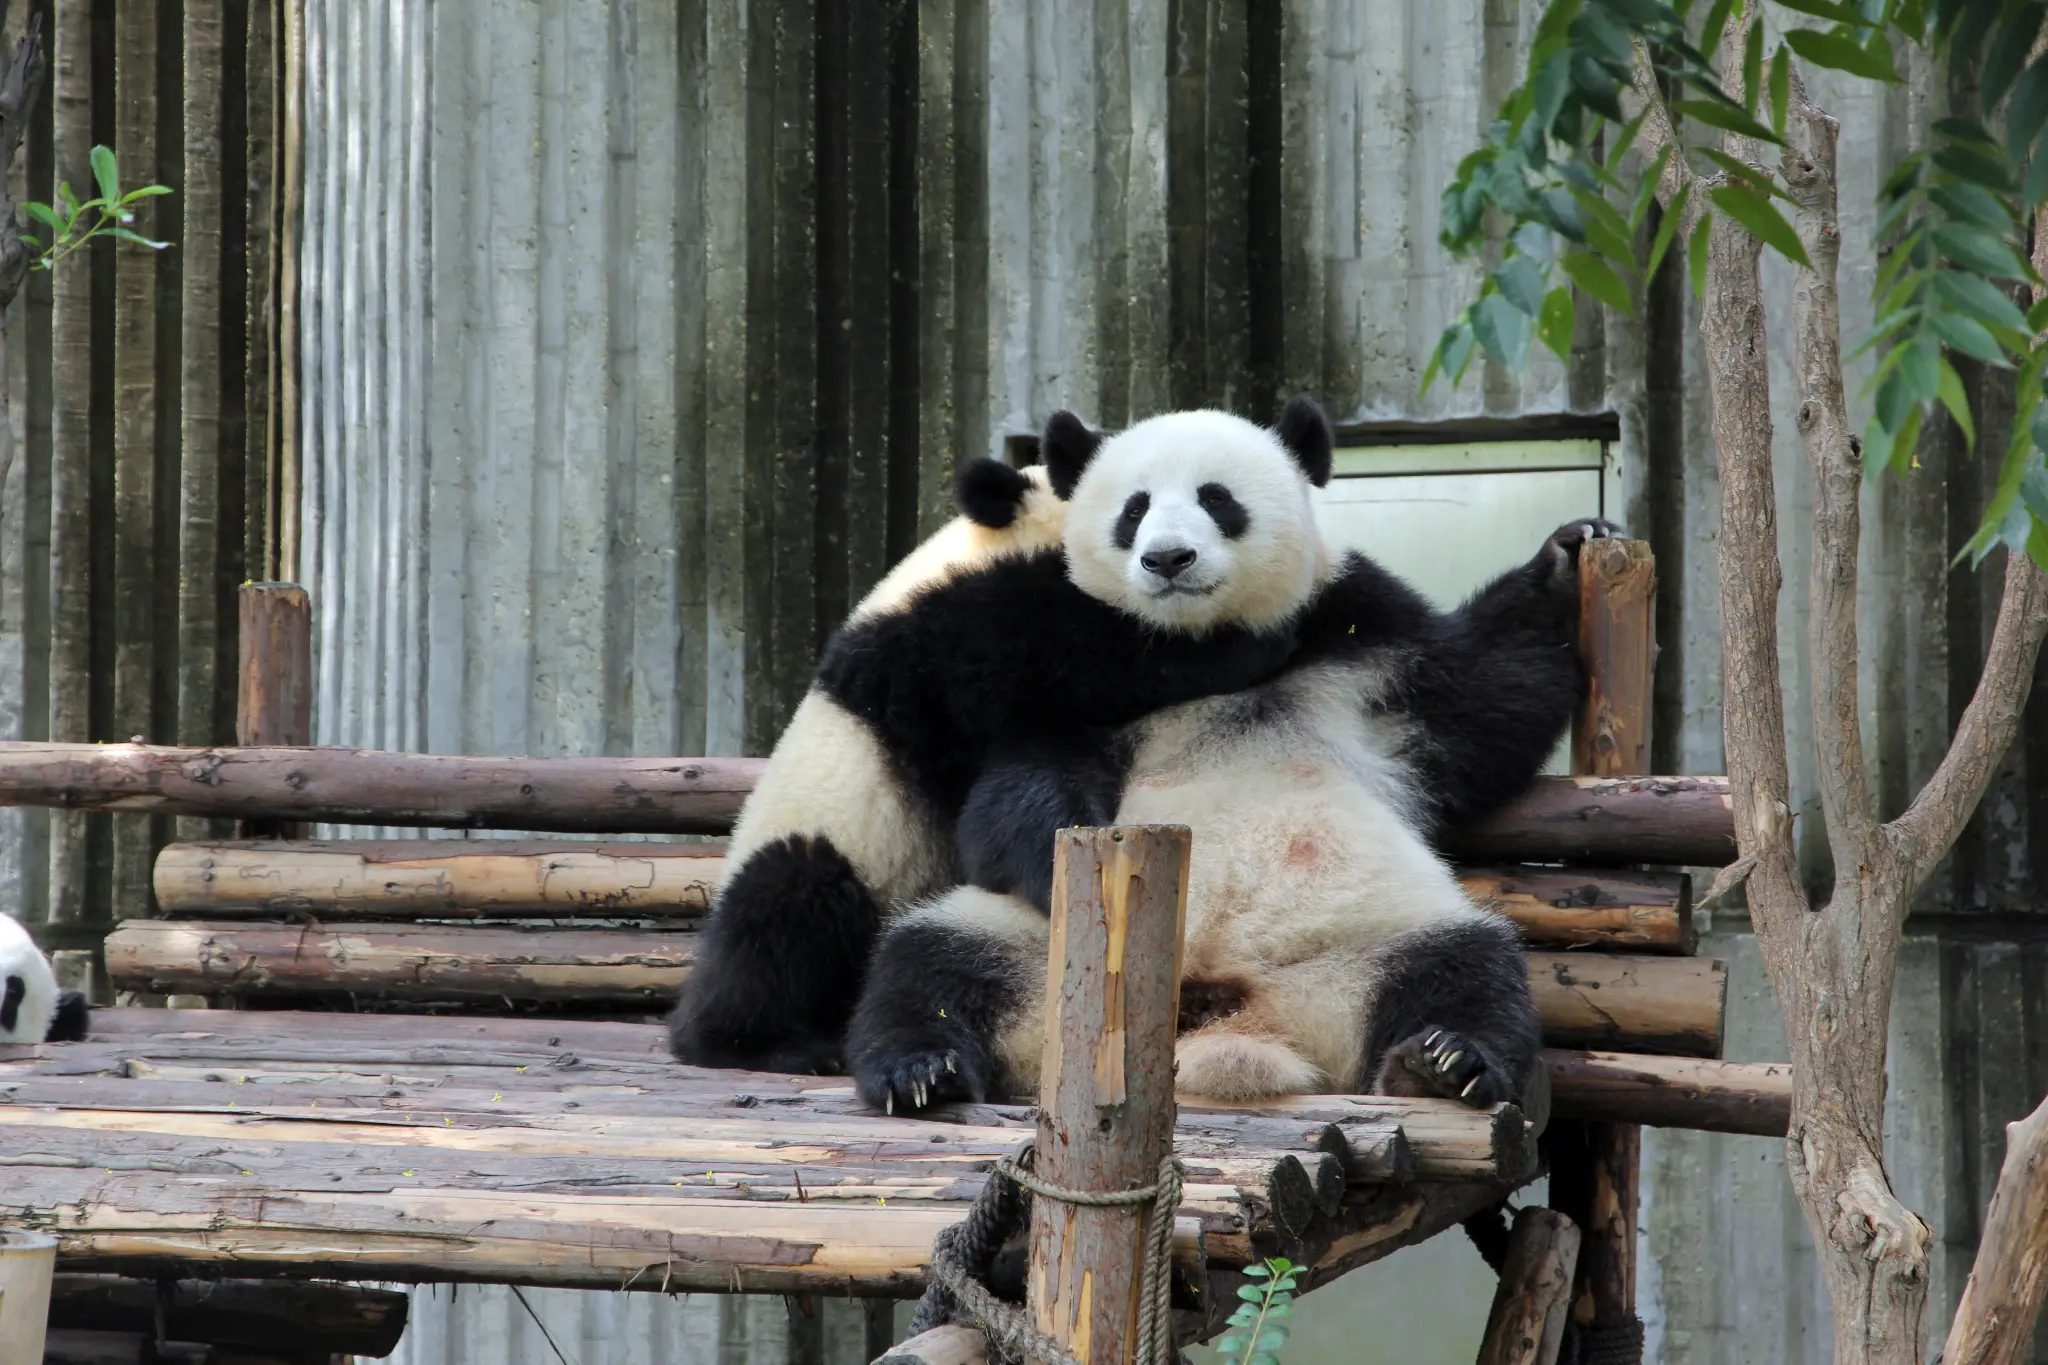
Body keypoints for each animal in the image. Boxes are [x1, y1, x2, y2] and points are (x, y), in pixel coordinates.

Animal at [667, 441, 1301, 1075]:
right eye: (1130, 510)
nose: (1168, 560)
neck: (969, 548)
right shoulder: (930, 654)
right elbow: (1053, 656)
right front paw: (1245, 640)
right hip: (830, 844)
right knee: (787, 904)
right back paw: (763, 1040)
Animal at [845, 396, 1616, 1115]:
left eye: (1217, 499)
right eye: (1133, 509)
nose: (1167, 559)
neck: (1200, 639)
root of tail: (1218, 1009)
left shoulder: (1367, 637)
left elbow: (1485, 696)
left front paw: (1567, 553)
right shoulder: (1071, 690)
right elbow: (1004, 809)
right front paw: (1057, 848)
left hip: (1374, 937)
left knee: (1469, 969)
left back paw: (1443, 1063)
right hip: (1028, 945)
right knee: (929, 969)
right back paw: (921, 1070)